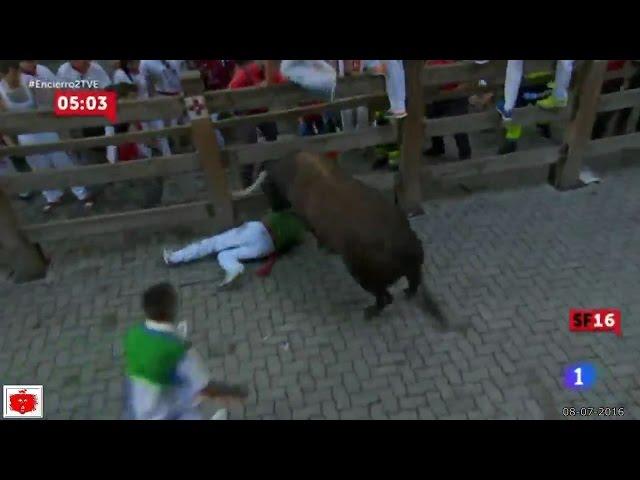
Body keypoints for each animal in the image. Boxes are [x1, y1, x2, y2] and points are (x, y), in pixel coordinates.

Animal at [240, 152, 444, 320]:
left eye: (267, 190)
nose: (274, 209)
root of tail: (408, 247)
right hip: (408, 270)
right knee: (413, 282)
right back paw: (407, 293)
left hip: (364, 275)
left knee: (386, 297)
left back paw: (370, 312)